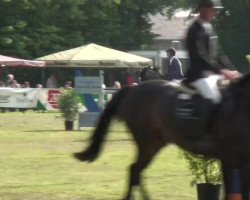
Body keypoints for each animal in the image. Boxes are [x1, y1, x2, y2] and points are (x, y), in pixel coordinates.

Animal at [74, 72, 250, 199]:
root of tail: (132, 89)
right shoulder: (228, 159)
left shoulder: (241, 163)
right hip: (147, 143)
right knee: (135, 170)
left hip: (155, 144)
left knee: (136, 171)